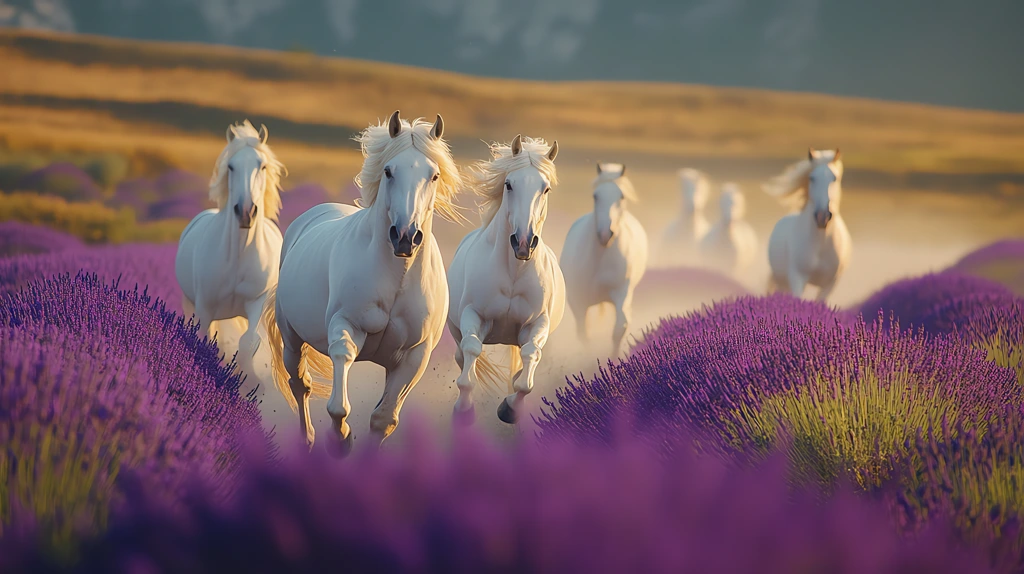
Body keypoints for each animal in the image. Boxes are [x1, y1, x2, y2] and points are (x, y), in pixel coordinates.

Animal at [172, 118, 284, 374]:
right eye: (231, 167)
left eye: (262, 166)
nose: (245, 212)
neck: (239, 255)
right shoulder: (204, 308)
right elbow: (203, 339)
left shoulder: (256, 303)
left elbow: (248, 343)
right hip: (189, 302)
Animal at [260, 111, 464, 452]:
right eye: (388, 171)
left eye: (434, 175)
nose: (405, 237)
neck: (397, 276)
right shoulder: (346, 326)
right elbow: (339, 381)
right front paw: (340, 439)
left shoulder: (415, 356)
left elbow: (384, 419)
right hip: (292, 339)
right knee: (300, 384)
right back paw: (308, 441)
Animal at [446, 134, 565, 425]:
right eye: (509, 184)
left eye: (546, 189)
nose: (523, 243)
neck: (514, 272)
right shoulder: (473, 315)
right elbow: (472, 350)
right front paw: (464, 410)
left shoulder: (538, 323)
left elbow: (530, 361)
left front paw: (509, 408)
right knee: (462, 354)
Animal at [561, 161, 647, 356]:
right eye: (595, 196)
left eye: (621, 196)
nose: (605, 234)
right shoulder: (577, 301)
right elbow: (584, 335)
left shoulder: (622, 293)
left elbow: (619, 329)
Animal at [765, 147, 851, 300]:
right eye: (812, 178)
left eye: (834, 178)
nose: (822, 217)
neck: (821, 244)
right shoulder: (797, 278)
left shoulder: (829, 284)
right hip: (782, 282)